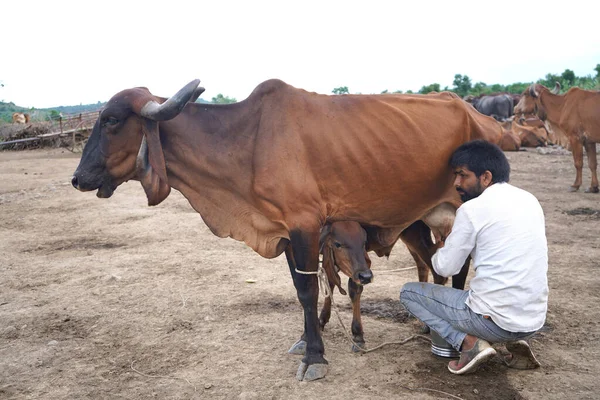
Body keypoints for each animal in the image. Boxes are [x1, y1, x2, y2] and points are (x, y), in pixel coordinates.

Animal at [70, 78, 502, 382]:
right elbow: (299, 288)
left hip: (459, 210)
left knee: (458, 271)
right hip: (427, 219)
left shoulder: (305, 224)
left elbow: (309, 290)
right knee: (437, 265)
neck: (246, 140)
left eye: (111, 120)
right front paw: (309, 341)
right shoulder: (285, 231)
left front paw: (315, 357)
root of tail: (479, 116)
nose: (78, 178)